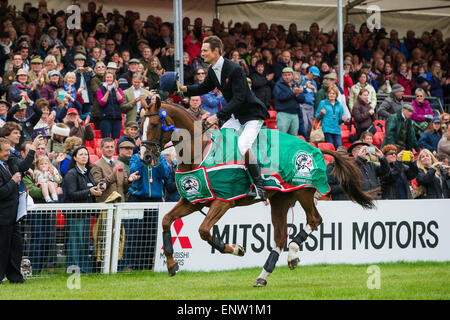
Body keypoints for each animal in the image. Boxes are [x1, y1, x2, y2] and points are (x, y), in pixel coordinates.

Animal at [141, 98, 372, 288]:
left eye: (154, 125)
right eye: (141, 126)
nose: (145, 157)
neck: (199, 153)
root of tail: (313, 147)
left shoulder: (224, 200)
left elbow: (204, 231)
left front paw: (235, 248)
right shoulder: (194, 200)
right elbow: (166, 220)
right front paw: (172, 264)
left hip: (303, 192)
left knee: (314, 220)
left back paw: (292, 254)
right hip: (280, 200)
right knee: (280, 237)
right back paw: (264, 275)